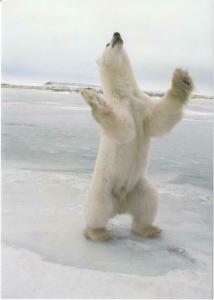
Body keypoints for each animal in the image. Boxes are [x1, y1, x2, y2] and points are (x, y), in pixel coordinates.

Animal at [81, 32, 193, 241]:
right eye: (107, 43)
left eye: (114, 38)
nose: (116, 34)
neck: (126, 94)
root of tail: (120, 204)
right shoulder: (121, 106)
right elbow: (123, 129)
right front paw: (93, 99)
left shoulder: (143, 105)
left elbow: (160, 118)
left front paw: (181, 79)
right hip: (103, 187)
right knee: (97, 208)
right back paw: (98, 233)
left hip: (139, 187)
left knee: (149, 204)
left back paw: (149, 229)